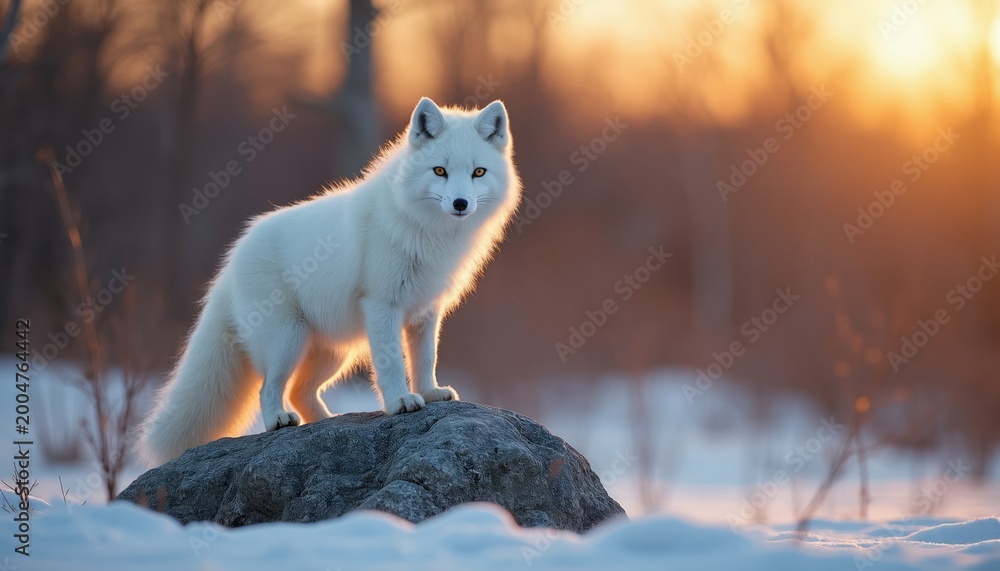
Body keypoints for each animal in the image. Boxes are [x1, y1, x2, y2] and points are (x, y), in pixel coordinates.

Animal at [138, 97, 521, 466]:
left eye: (478, 172)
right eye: (440, 170)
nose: (460, 203)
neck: (429, 231)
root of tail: (231, 261)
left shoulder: (426, 311)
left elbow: (426, 359)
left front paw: (429, 393)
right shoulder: (382, 304)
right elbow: (392, 362)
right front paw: (400, 401)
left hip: (332, 353)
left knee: (300, 392)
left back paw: (326, 422)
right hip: (288, 341)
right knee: (270, 389)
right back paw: (279, 420)